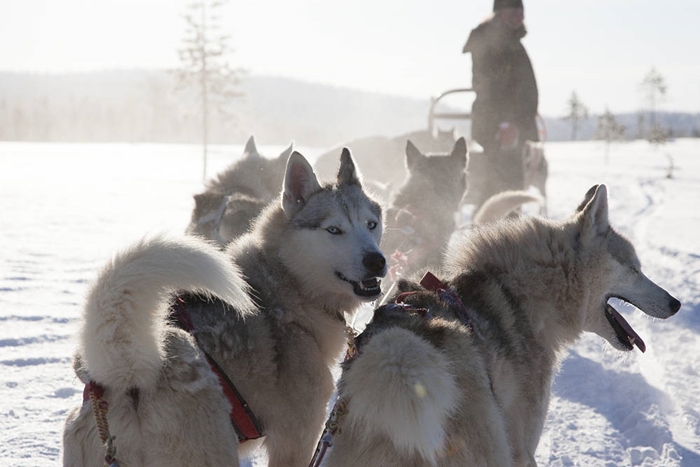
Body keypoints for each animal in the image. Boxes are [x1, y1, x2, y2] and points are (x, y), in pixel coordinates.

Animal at [62, 150, 386, 467]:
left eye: (371, 224)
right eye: (334, 229)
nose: (377, 261)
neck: (285, 284)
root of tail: (131, 375)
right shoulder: (295, 443)